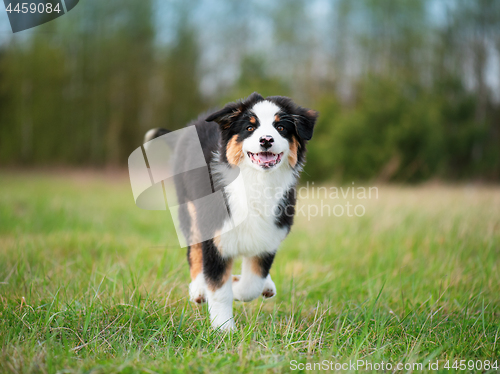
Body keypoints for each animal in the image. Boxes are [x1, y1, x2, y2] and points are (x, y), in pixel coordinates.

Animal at [145, 93, 318, 330]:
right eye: (249, 128)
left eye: (281, 127)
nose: (266, 140)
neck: (256, 181)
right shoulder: (215, 237)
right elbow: (219, 289)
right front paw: (223, 329)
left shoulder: (269, 236)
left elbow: (252, 283)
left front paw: (236, 286)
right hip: (189, 208)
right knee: (194, 249)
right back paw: (198, 289)